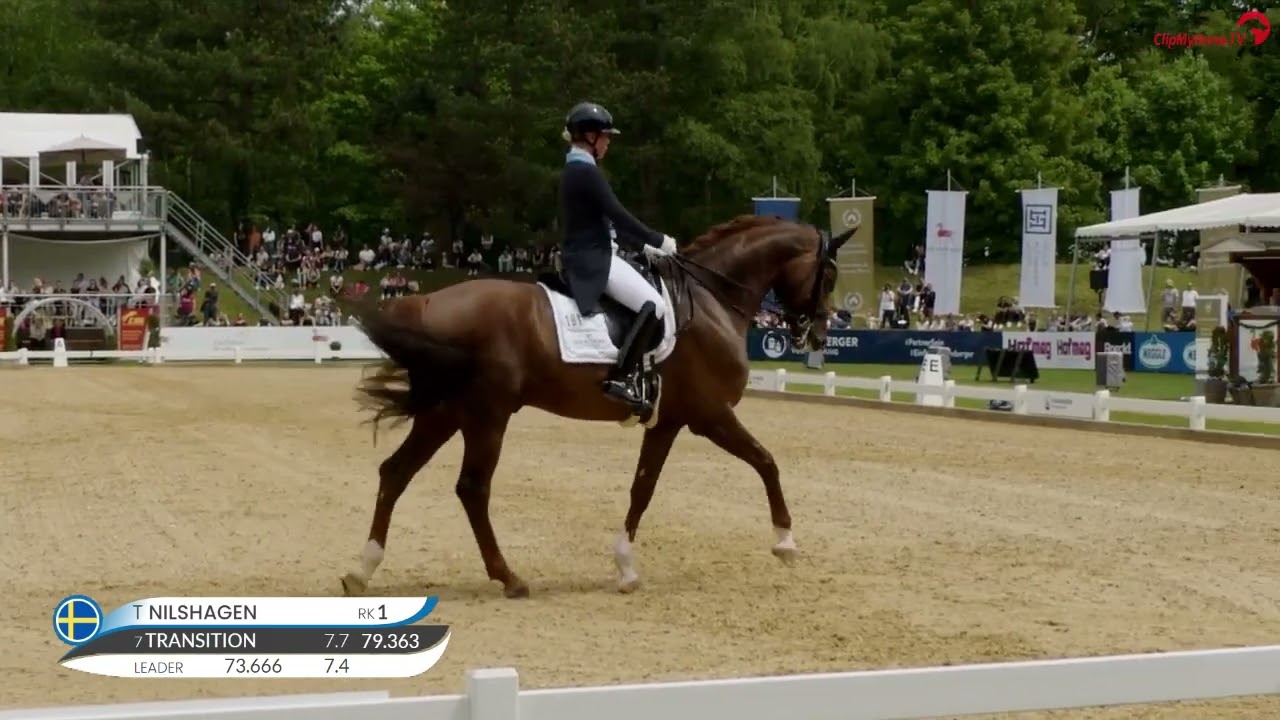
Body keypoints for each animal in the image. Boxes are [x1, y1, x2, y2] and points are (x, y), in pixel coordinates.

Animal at [342, 214, 856, 598]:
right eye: (829, 274)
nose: (819, 335)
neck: (712, 300)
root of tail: (427, 302)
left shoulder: (667, 421)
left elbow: (642, 489)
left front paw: (626, 568)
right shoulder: (710, 415)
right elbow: (766, 462)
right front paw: (786, 542)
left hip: (446, 412)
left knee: (396, 472)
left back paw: (362, 570)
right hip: (487, 414)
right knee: (471, 489)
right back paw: (509, 578)